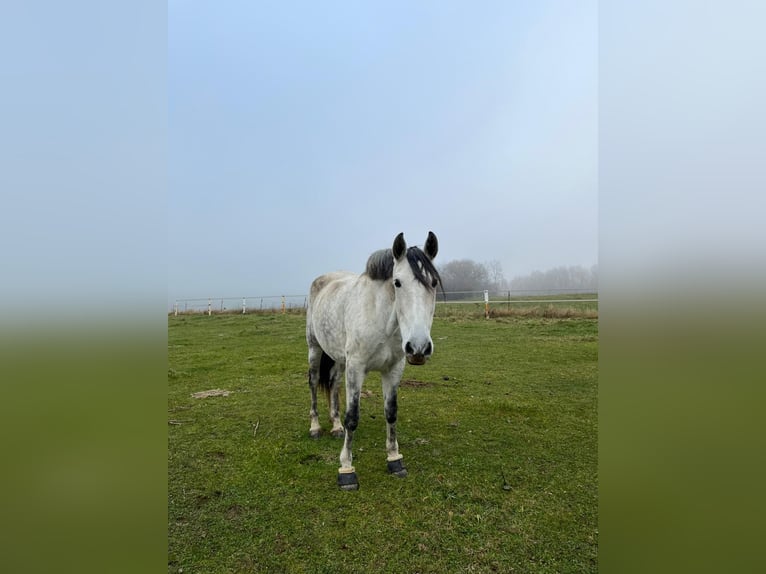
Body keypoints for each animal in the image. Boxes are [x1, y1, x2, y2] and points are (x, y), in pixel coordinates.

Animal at [306, 231, 441, 490]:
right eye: (397, 282)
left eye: (434, 283)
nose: (419, 347)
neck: (381, 318)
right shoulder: (356, 368)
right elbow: (353, 417)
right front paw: (346, 469)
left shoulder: (393, 369)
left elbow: (391, 412)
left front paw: (395, 459)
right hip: (315, 349)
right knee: (314, 382)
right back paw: (315, 427)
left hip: (339, 359)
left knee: (334, 384)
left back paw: (335, 426)